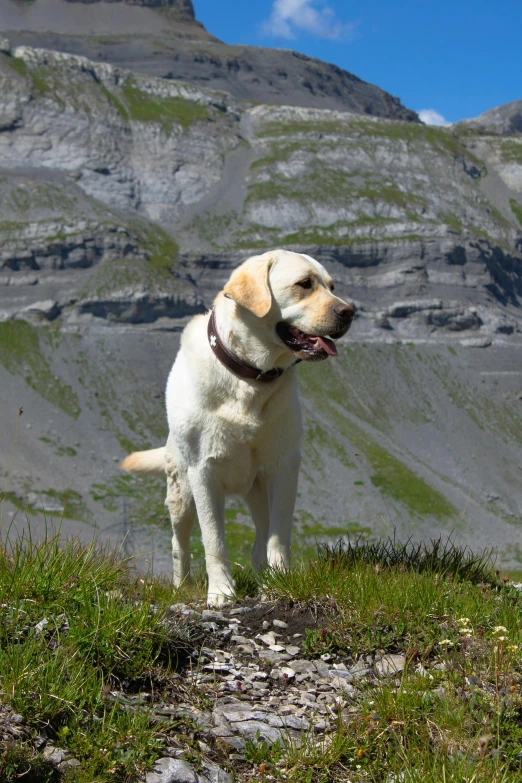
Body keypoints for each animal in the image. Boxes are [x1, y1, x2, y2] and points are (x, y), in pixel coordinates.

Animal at [120, 251, 352, 608]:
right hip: (181, 492)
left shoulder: (284, 466)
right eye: (304, 284)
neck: (250, 377)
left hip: (257, 489)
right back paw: (182, 585)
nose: (349, 311)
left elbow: (278, 536)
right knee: (179, 543)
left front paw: (279, 584)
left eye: (332, 286)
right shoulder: (203, 472)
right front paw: (220, 592)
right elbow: (214, 540)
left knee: (261, 537)